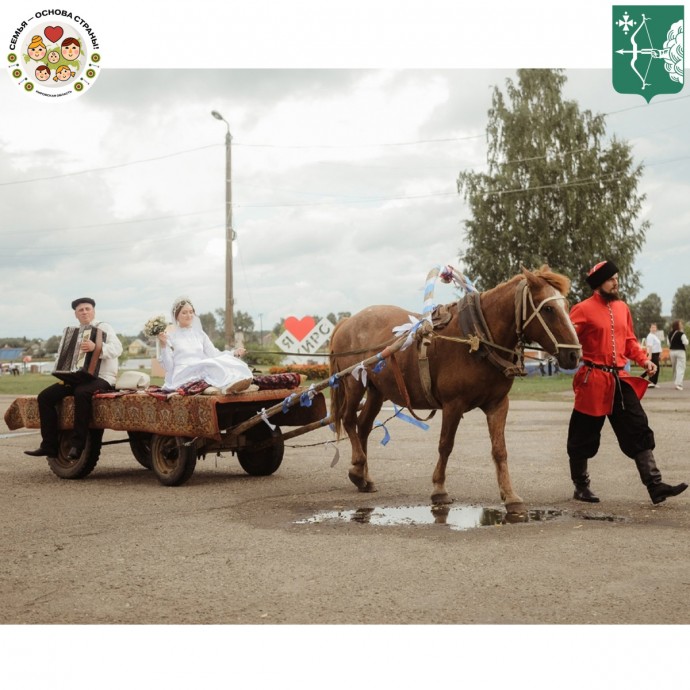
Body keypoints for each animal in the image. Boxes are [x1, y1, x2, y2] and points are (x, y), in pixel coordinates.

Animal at [328, 264, 580, 510]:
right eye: (549, 310)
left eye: (567, 306)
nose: (574, 355)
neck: (477, 337)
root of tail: (347, 322)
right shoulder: (453, 404)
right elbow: (445, 445)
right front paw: (439, 488)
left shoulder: (498, 404)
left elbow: (500, 450)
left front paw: (509, 494)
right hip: (353, 382)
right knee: (349, 420)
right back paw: (358, 465)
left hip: (376, 390)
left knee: (363, 426)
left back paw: (363, 477)